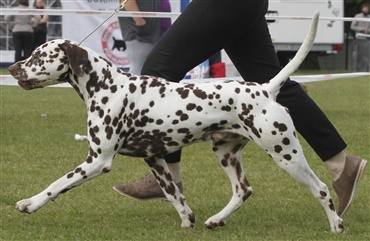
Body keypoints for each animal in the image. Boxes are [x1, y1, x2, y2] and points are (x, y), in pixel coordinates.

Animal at [7, 12, 344, 232]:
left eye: (38, 56)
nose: (11, 68)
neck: (106, 85)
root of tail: (265, 88)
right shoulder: (155, 159)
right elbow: (174, 194)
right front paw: (187, 220)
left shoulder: (97, 161)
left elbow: (56, 185)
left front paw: (29, 203)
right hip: (226, 154)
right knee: (243, 191)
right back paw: (216, 220)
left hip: (286, 155)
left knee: (321, 189)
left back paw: (336, 225)